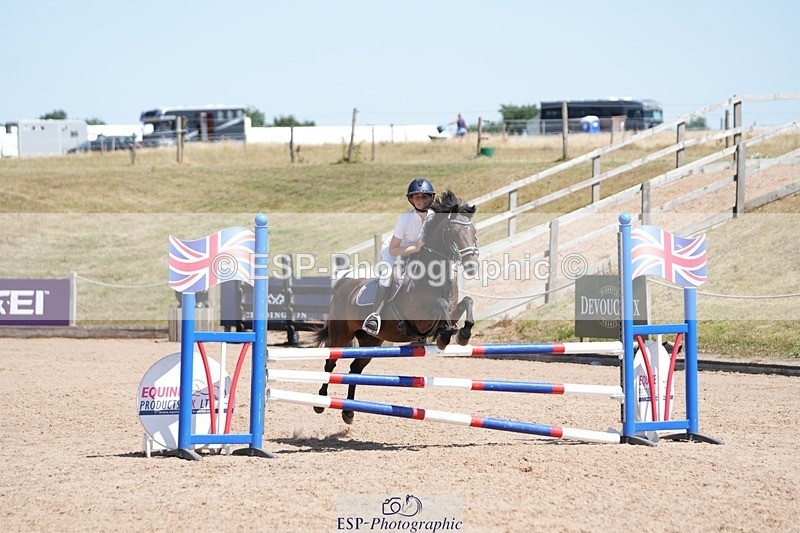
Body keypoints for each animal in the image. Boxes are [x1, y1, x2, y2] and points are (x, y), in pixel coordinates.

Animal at [312, 190, 479, 423]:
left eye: (474, 232)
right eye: (454, 232)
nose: (472, 266)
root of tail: (344, 285)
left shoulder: (452, 311)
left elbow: (466, 302)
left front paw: (462, 334)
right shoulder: (420, 318)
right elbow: (440, 303)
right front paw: (445, 336)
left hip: (371, 341)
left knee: (355, 368)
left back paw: (348, 411)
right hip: (341, 335)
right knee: (331, 364)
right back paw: (320, 403)